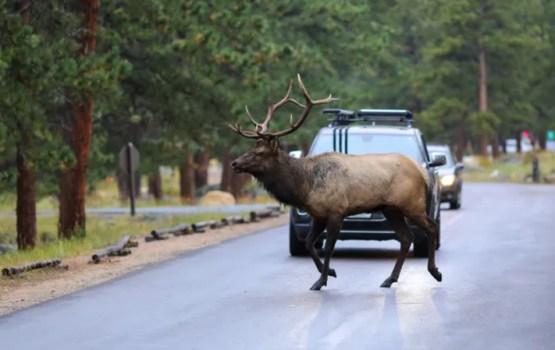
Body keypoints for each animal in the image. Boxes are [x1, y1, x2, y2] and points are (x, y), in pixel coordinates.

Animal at [230, 76, 444, 290]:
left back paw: (435, 272)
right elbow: (309, 243)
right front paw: (330, 272)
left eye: (260, 153)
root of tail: (422, 172)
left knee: (431, 227)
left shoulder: (336, 210)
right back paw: (389, 279)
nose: (234, 163)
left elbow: (329, 248)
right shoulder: (317, 214)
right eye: (251, 148)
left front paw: (321, 280)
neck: (305, 187)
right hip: (391, 208)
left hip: (412, 204)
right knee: (407, 237)